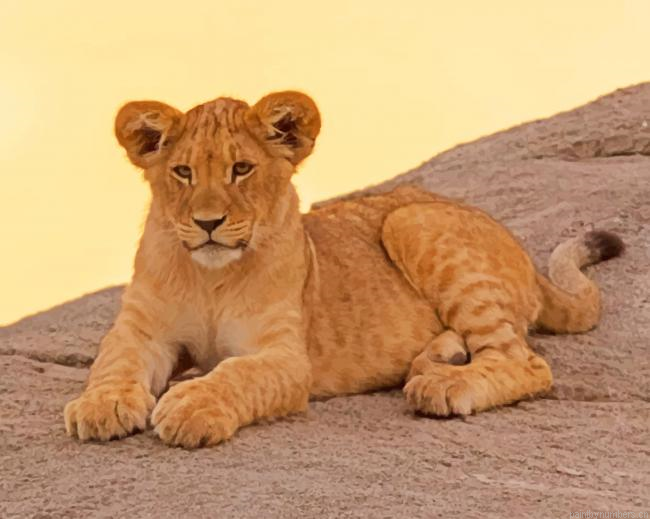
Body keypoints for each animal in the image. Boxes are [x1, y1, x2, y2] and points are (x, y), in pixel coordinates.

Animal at [63, 91, 624, 448]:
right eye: (182, 172)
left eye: (241, 169)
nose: (207, 223)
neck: (210, 276)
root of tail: (527, 258)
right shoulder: (142, 329)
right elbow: (114, 363)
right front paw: (100, 406)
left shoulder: (286, 357)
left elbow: (237, 374)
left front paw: (190, 406)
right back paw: (440, 357)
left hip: (410, 219)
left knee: (526, 362)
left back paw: (443, 385)